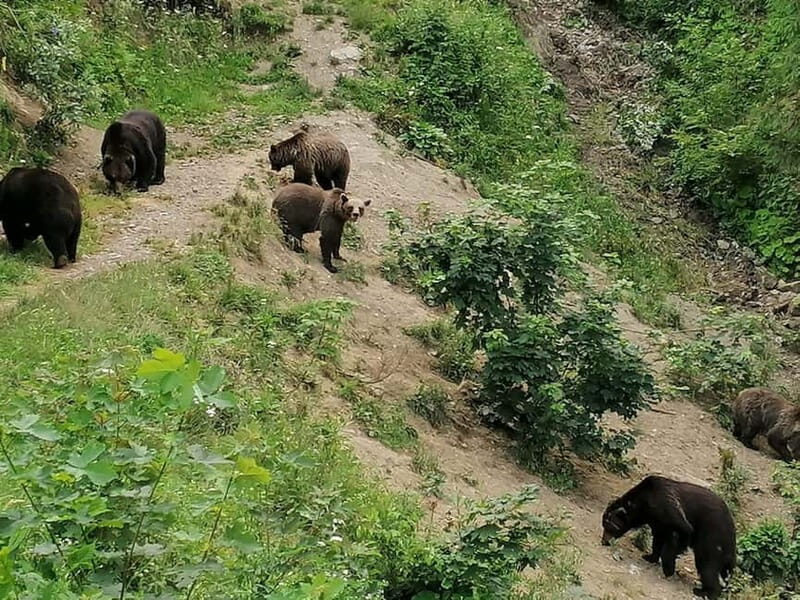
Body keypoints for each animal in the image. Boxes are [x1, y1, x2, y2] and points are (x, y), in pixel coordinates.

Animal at [601, 475, 736, 600]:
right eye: (603, 525)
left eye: (609, 527)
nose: (604, 541)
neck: (644, 503)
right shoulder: (657, 521)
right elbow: (657, 540)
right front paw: (650, 557)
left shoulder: (668, 508)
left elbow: (681, 534)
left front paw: (668, 569)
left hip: (712, 539)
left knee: (707, 565)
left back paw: (704, 592)